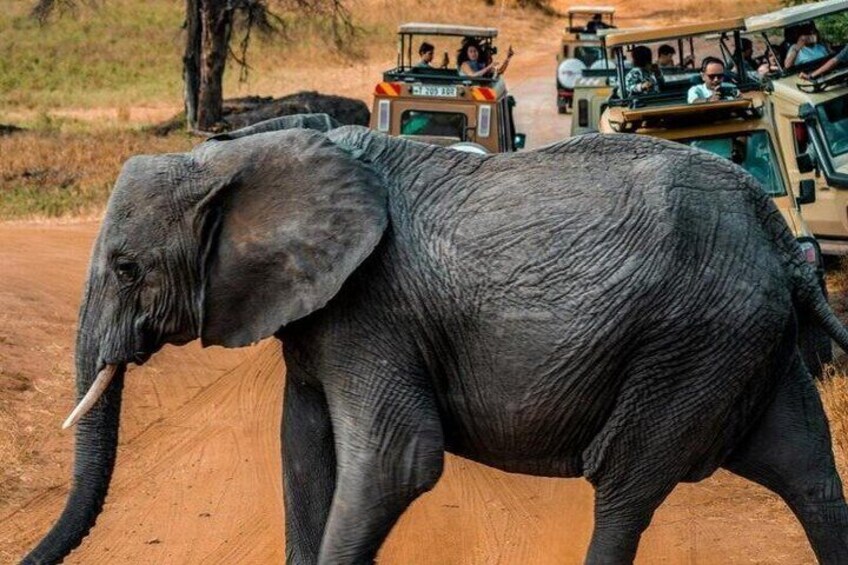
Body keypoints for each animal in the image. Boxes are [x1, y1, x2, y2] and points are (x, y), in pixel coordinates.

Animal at [23, 115, 848, 564]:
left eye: (126, 268)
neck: (242, 153)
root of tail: (775, 227)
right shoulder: (320, 314)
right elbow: (301, 451)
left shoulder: (374, 308)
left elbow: (397, 459)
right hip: (746, 339)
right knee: (810, 474)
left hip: (691, 344)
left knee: (624, 486)